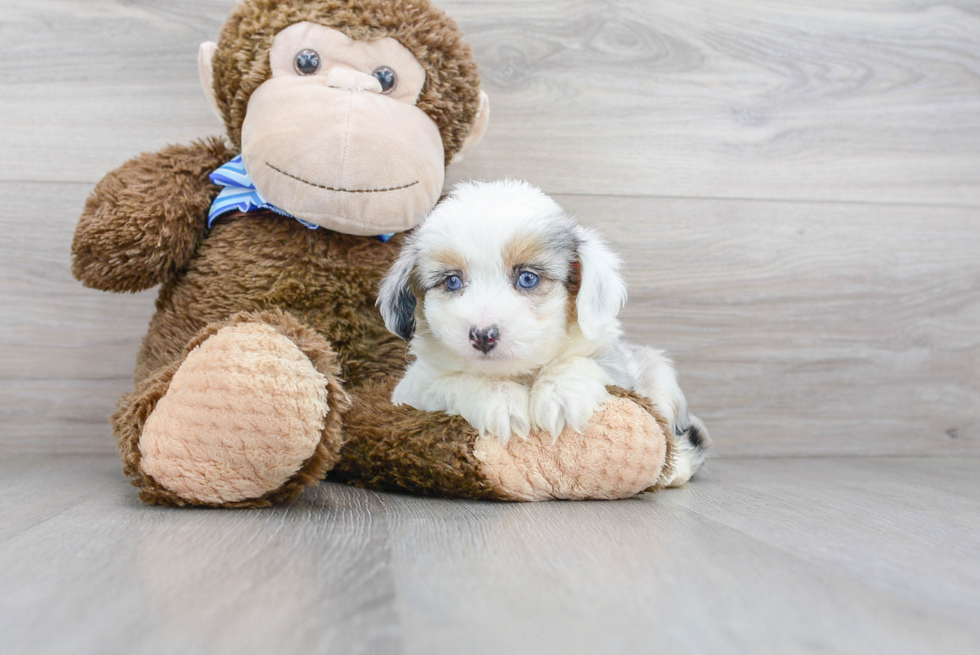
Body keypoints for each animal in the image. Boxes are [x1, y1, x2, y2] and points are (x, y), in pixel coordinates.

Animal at [378, 179, 708, 486]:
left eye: (527, 278)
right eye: (452, 282)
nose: (483, 335)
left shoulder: (618, 369)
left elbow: (582, 362)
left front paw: (560, 394)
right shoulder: (413, 390)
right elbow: (455, 379)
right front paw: (498, 399)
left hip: (661, 378)